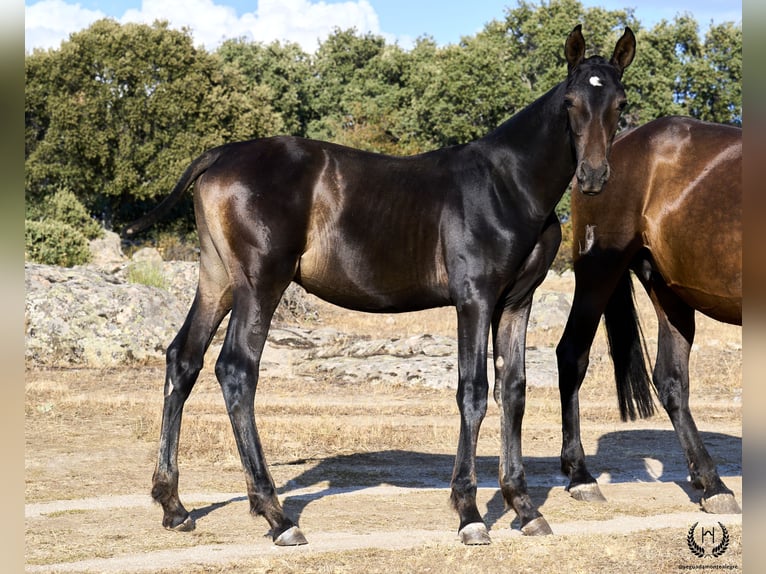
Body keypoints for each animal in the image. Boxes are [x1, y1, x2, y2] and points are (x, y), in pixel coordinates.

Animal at [126, 27, 640, 548]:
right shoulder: (474, 299)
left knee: (184, 360)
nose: (593, 176)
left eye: (620, 102)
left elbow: (512, 390)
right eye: (571, 102)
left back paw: (173, 505)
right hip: (260, 283)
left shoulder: (515, 303)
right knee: (235, 371)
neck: (507, 184)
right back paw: (276, 515)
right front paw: (469, 513)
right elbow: (473, 391)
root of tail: (220, 154)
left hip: (218, 282)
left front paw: (524, 506)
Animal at [560, 117, 744, 516]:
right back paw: (580, 476)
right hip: (598, 273)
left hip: (668, 292)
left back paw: (711, 484)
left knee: (671, 381)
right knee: (571, 355)